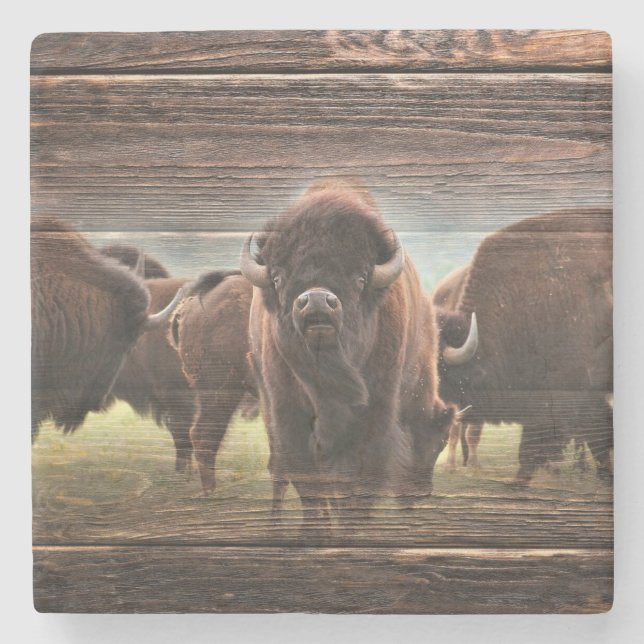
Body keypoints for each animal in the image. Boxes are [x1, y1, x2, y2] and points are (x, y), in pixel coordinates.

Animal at [242, 180, 454, 521]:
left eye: (360, 277)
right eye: (277, 276)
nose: (316, 300)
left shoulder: (374, 417)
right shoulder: (288, 416)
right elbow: (309, 484)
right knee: (281, 473)